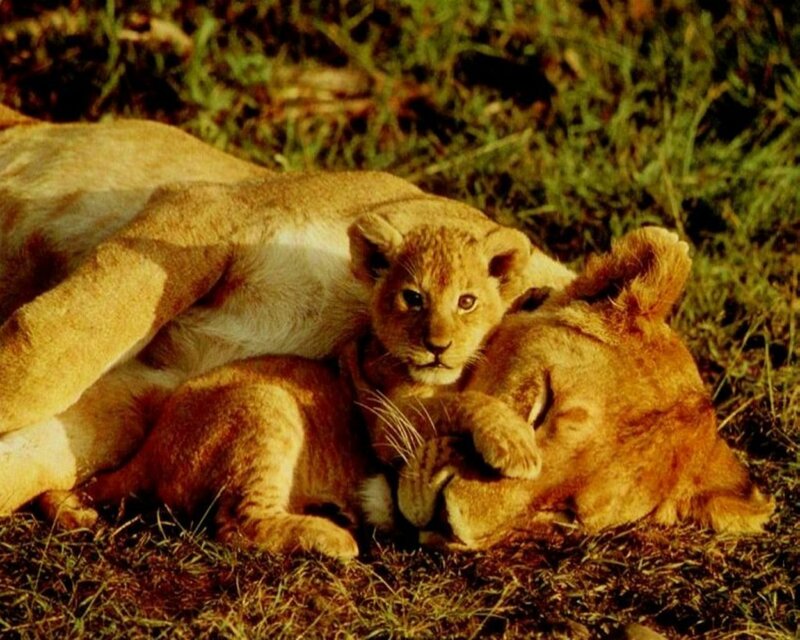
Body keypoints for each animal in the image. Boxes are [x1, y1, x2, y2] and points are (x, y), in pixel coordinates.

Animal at [0, 105, 569, 516]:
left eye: (562, 514)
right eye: (540, 406)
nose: (454, 525)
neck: (355, 324)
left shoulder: (158, 382)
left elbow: (39, 448)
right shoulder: (205, 210)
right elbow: (41, 362)